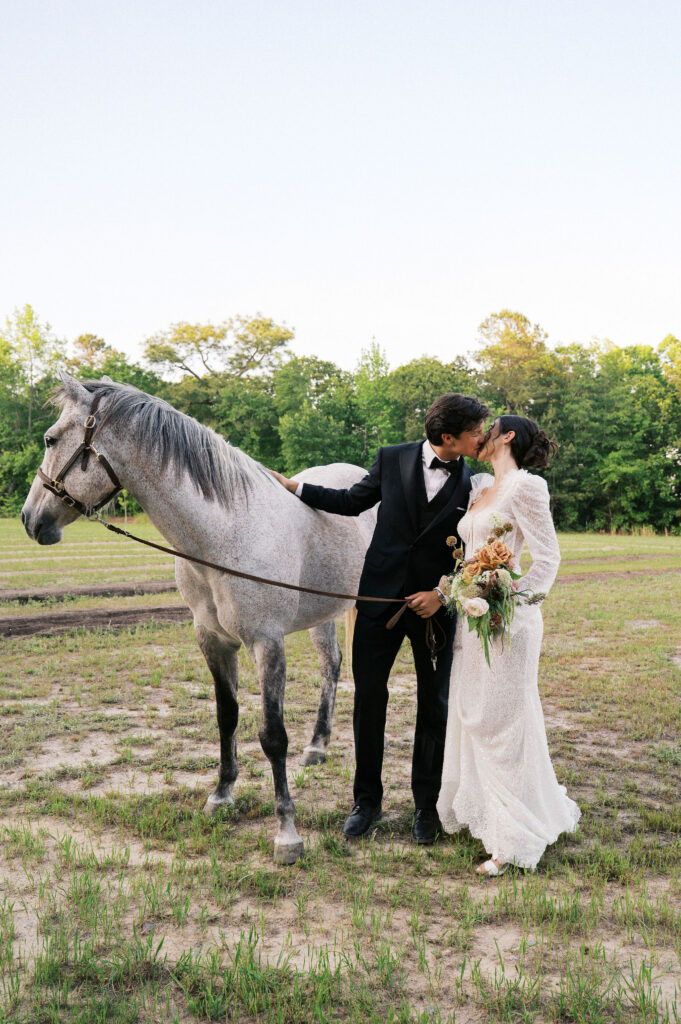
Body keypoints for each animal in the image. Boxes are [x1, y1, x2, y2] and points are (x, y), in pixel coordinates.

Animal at [21, 372, 377, 864]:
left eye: (50, 438)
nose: (28, 519)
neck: (221, 534)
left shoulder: (267, 642)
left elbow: (272, 735)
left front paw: (286, 832)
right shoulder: (212, 639)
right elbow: (227, 716)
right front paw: (221, 794)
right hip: (324, 613)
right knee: (331, 666)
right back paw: (317, 745)